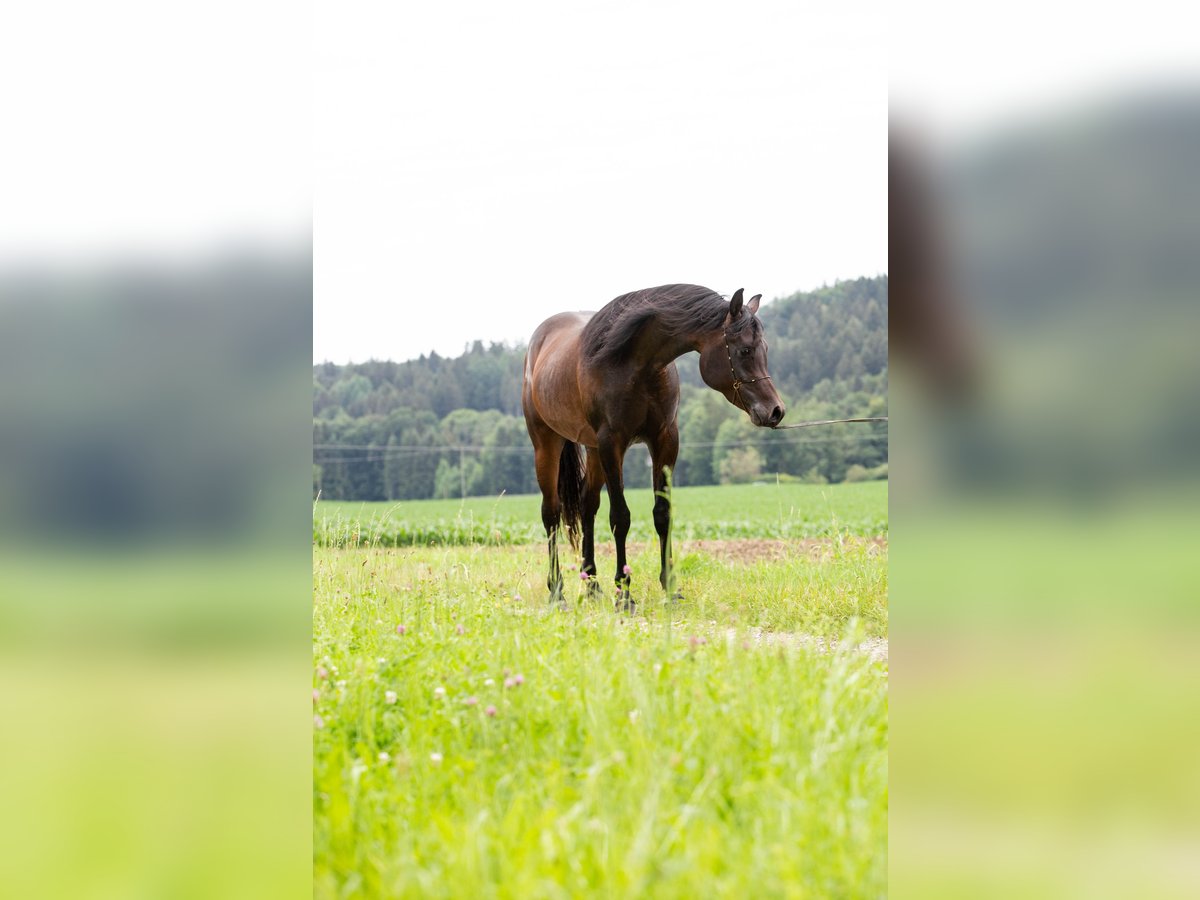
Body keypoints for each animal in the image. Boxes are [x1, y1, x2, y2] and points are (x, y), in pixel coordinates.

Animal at [523, 283, 787, 607]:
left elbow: (662, 513)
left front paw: (670, 587)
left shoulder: (665, 440)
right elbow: (620, 518)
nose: (775, 411)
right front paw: (624, 593)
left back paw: (592, 585)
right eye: (745, 350)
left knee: (587, 507)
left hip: (593, 450)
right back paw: (557, 592)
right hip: (547, 443)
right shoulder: (613, 443)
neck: (634, 363)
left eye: (764, 350)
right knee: (551, 514)